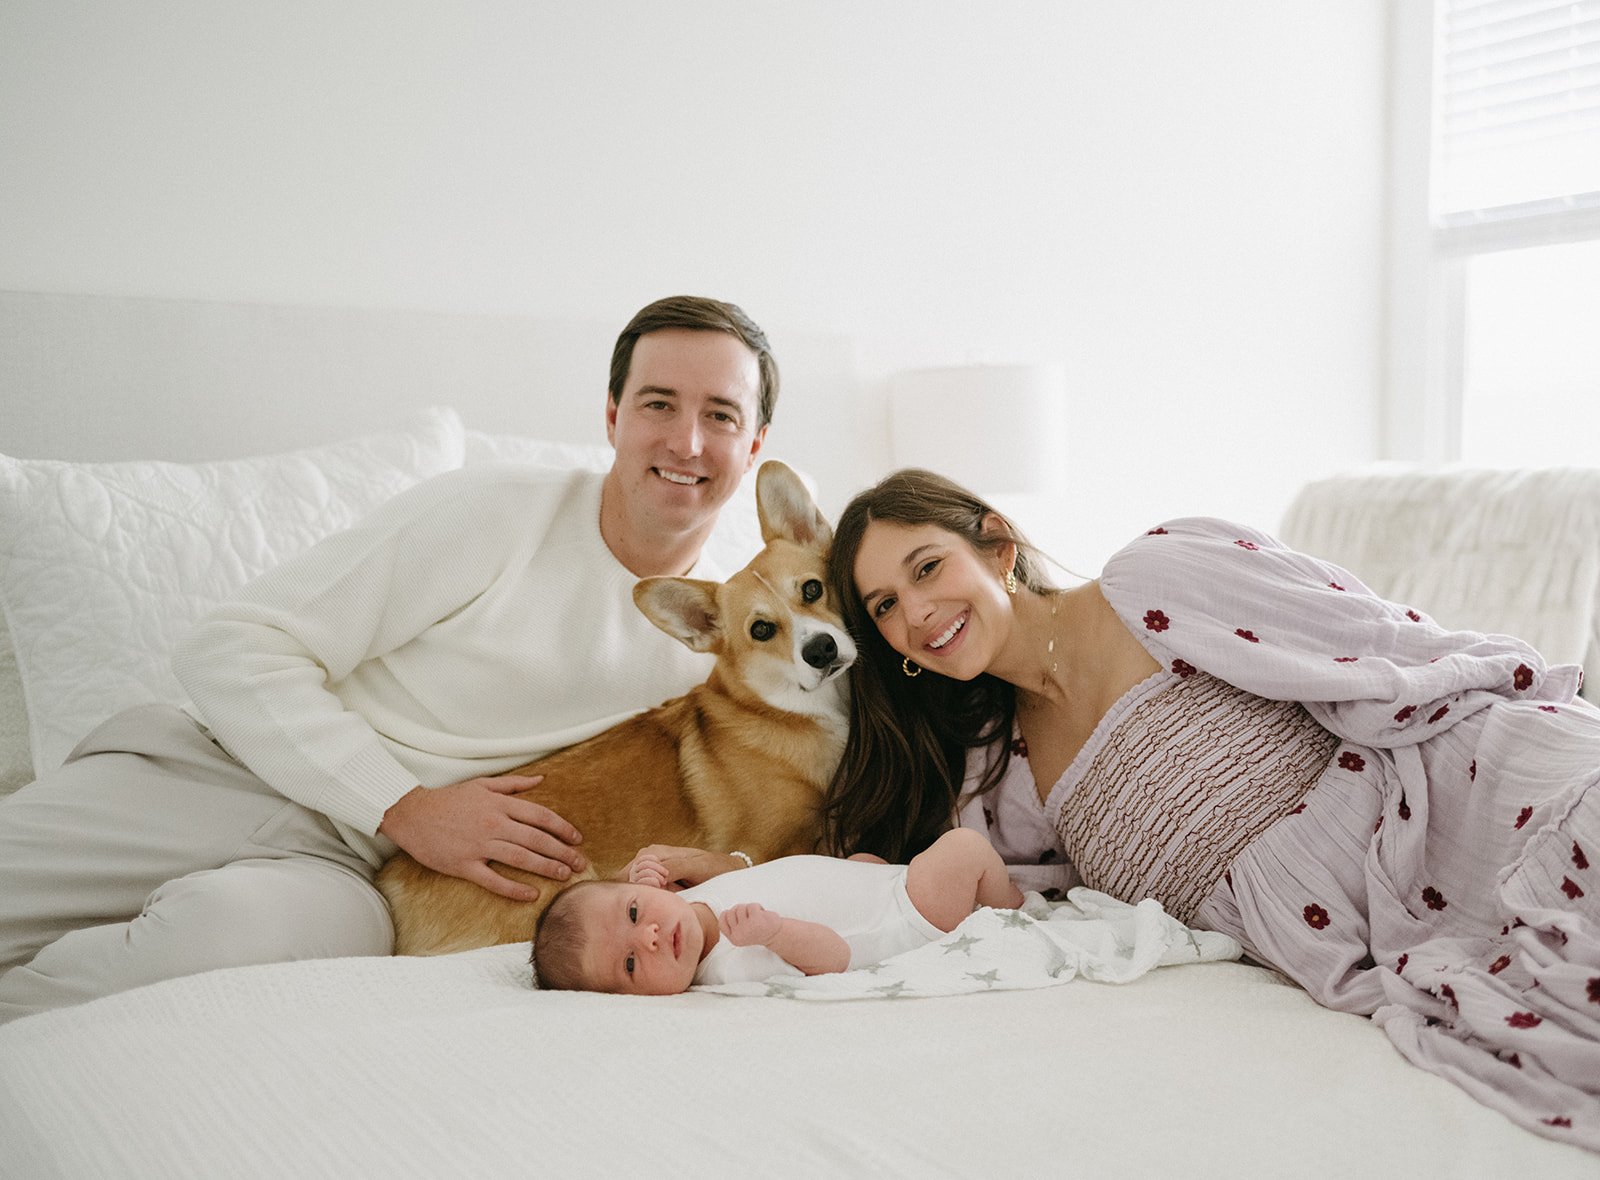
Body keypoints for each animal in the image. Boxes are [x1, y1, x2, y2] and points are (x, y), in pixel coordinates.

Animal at [376, 460, 857, 959]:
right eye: (761, 629)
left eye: (812, 589)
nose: (821, 650)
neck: (791, 712)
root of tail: (390, 882)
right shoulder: (768, 848)